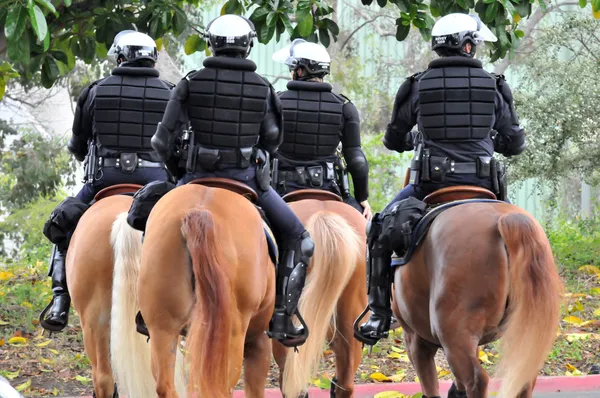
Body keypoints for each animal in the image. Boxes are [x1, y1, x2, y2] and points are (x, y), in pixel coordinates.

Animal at [384, 187, 564, 398]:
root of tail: (504, 219)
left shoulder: (415, 339)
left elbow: (430, 388)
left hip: (454, 335)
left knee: (478, 380)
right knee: (523, 378)